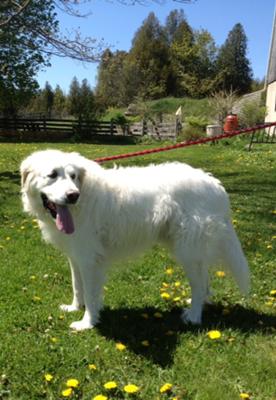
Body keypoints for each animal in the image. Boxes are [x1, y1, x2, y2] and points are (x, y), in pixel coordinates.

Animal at [21, 150, 250, 332]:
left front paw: (87, 323)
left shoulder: (89, 260)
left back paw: (193, 316)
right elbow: (77, 287)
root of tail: (215, 184)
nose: (72, 195)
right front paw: (74, 308)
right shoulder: (76, 256)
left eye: (73, 176)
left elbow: (90, 293)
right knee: (204, 281)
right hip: (191, 250)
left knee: (199, 284)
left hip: (187, 251)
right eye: (52, 175)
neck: (82, 198)